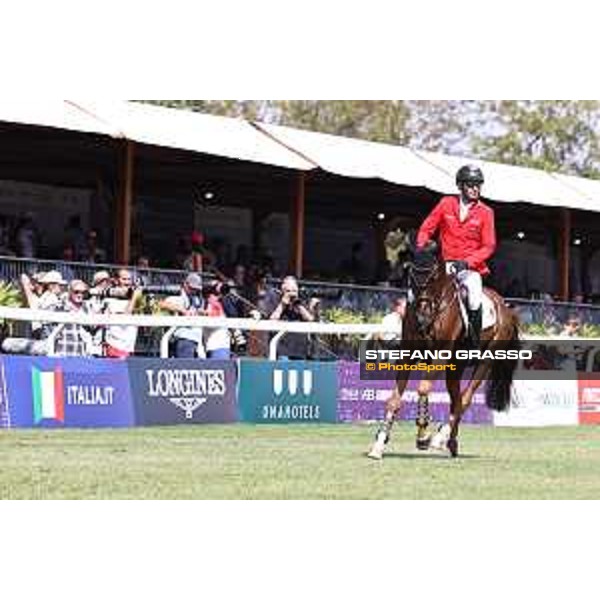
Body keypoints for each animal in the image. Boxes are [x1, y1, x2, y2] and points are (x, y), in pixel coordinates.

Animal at [368, 245, 516, 460]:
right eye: (411, 276)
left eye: (433, 277)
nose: (422, 316)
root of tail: (505, 307)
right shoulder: (408, 354)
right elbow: (394, 400)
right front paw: (379, 443)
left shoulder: (440, 356)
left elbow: (423, 388)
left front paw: (423, 437)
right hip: (455, 367)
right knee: (457, 400)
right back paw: (451, 442)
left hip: (485, 362)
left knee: (465, 399)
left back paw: (440, 438)